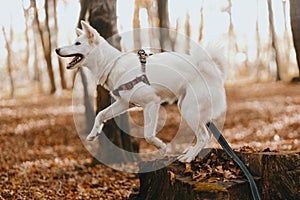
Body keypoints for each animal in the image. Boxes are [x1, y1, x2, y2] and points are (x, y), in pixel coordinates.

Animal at [56, 20, 226, 162]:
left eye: (77, 43)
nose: (57, 49)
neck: (112, 64)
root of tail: (209, 68)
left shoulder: (151, 103)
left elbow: (148, 135)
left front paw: (162, 147)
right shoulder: (123, 103)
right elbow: (100, 115)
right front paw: (93, 133)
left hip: (188, 109)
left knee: (204, 137)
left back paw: (189, 157)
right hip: (186, 106)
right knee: (204, 135)